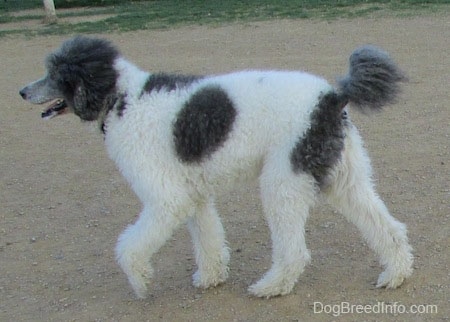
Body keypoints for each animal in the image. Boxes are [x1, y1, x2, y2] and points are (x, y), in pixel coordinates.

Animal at [19, 36, 414, 298]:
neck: (123, 99)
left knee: (295, 252)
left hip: (282, 184)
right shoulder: (192, 194)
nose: (23, 91)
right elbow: (208, 238)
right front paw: (210, 277)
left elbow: (130, 247)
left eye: (55, 72)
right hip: (344, 179)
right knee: (389, 228)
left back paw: (272, 286)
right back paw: (396, 273)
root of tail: (332, 97)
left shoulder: (166, 199)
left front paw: (140, 281)